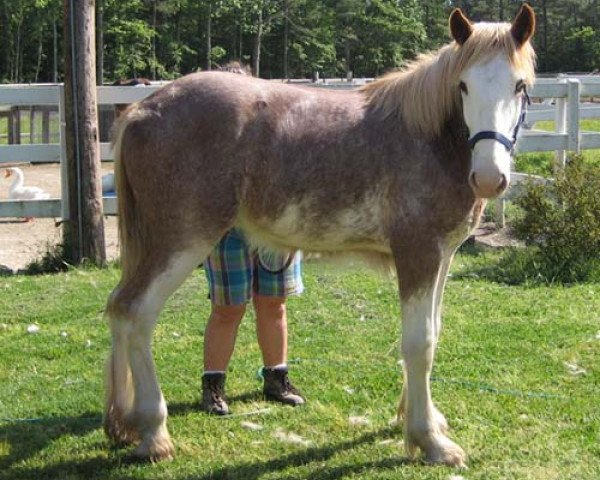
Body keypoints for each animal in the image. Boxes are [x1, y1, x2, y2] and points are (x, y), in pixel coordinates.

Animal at [102, 5, 536, 466]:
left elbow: (432, 336)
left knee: (120, 311)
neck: (430, 140)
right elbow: (418, 344)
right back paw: (154, 433)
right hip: (181, 243)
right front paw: (430, 441)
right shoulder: (417, 254)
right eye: (463, 85)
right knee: (135, 312)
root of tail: (141, 111)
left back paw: (125, 423)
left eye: (519, 86)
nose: (488, 177)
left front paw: (424, 421)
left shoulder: (442, 256)